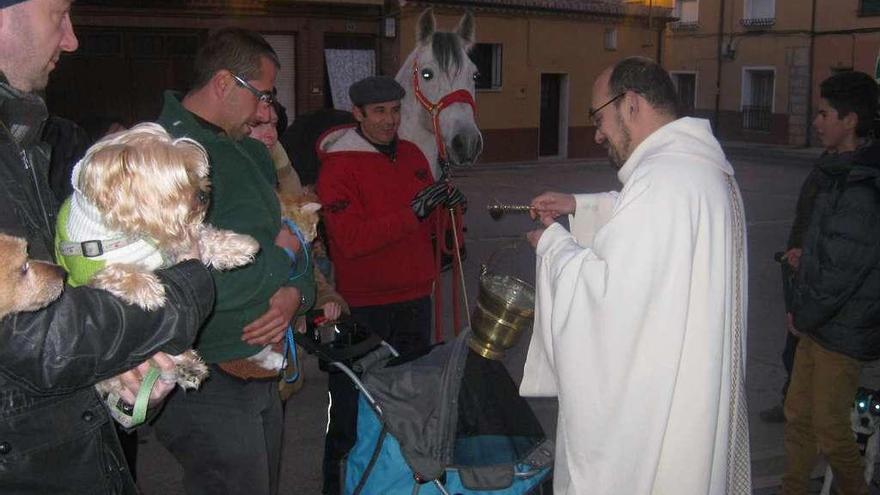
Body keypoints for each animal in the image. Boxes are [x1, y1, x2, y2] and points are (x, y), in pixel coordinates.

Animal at [56, 123, 258, 396]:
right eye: (176, 182)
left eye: (193, 172)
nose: (204, 196)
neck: (128, 233)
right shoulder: (92, 272)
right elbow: (117, 270)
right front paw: (147, 288)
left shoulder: (171, 245)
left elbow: (204, 236)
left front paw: (239, 245)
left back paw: (188, 368)